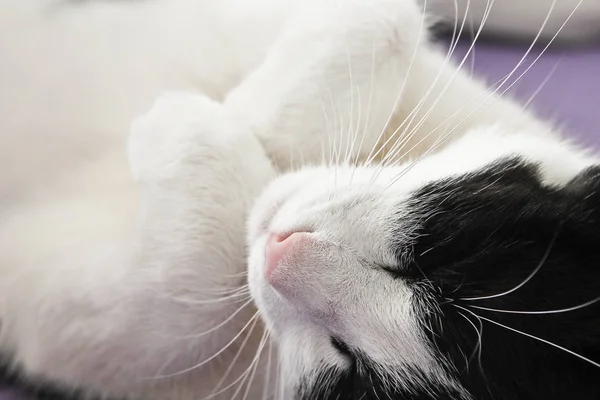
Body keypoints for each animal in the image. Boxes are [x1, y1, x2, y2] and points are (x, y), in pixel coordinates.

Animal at [1, 0, 600, 400]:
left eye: (351, 369)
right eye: (442, 256)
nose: (281, 249)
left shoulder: (70, 322)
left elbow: (182, 277)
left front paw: (188, 124)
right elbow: (382, 20)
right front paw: (254, 120)